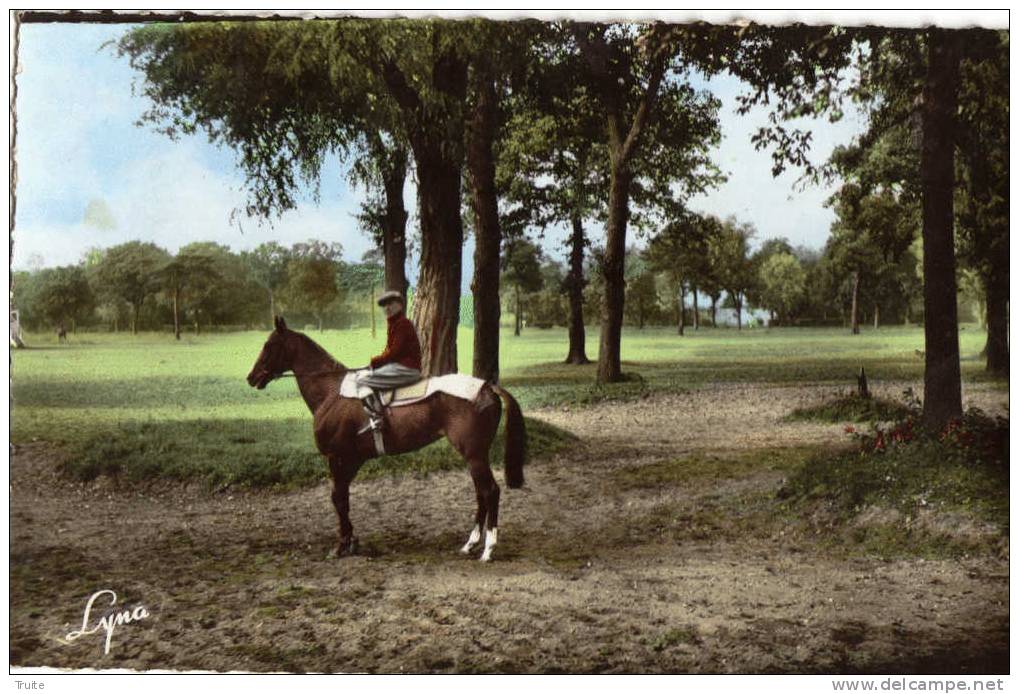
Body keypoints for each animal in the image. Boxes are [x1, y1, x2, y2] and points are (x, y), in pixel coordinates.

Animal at [245, 315, 525, 558]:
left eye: (269, 345)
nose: (251, 377)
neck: (331, 392)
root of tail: (487, 387)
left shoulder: (337, 457)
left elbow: (337, 498)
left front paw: (342, 545)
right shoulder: (351, 460)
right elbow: (343, 498)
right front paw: (351, 542)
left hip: (474, 455)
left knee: (490, 492)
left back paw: (488, 549)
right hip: (475, 456)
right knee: (481, 494)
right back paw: (470, 544)